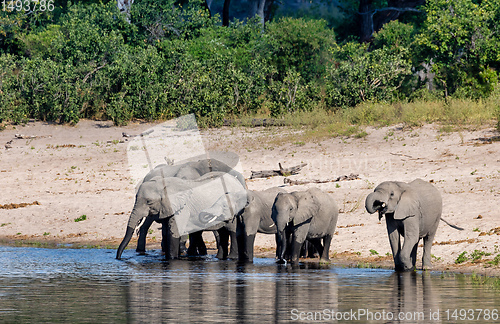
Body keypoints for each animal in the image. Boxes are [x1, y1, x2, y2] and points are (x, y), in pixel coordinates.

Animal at [115, 172, 248, 260]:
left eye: (149, 202)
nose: (119, 258)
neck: (163, 184)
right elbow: (166, 232)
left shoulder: (183, 208)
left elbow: (174, 232)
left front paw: (172, 259)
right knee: (222, 232)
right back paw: (218, 257)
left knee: (231, 230)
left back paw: (232, 257)